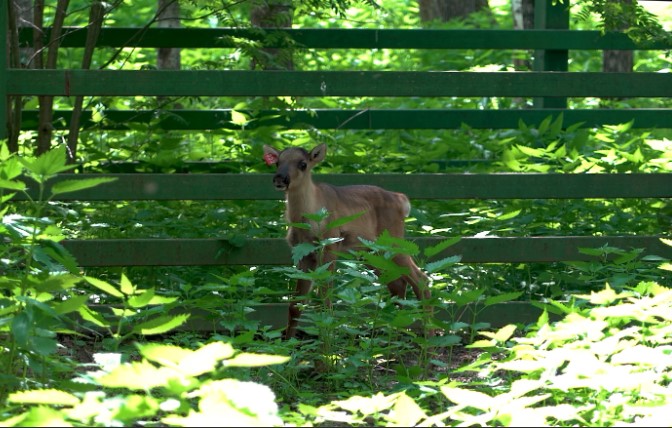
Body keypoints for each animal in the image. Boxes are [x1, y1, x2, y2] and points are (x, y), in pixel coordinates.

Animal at [262, 143, 430, 338]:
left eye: (303, 164)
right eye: (277, 162)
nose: (280, 178)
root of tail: (403, 201)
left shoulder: (330, 245)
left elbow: (325, 298)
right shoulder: (303, 252)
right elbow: (295, 305)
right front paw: (289, 342)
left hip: (393, 241)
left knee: (420, 279)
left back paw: (430, 336)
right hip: (370, 251)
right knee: (397, 283)